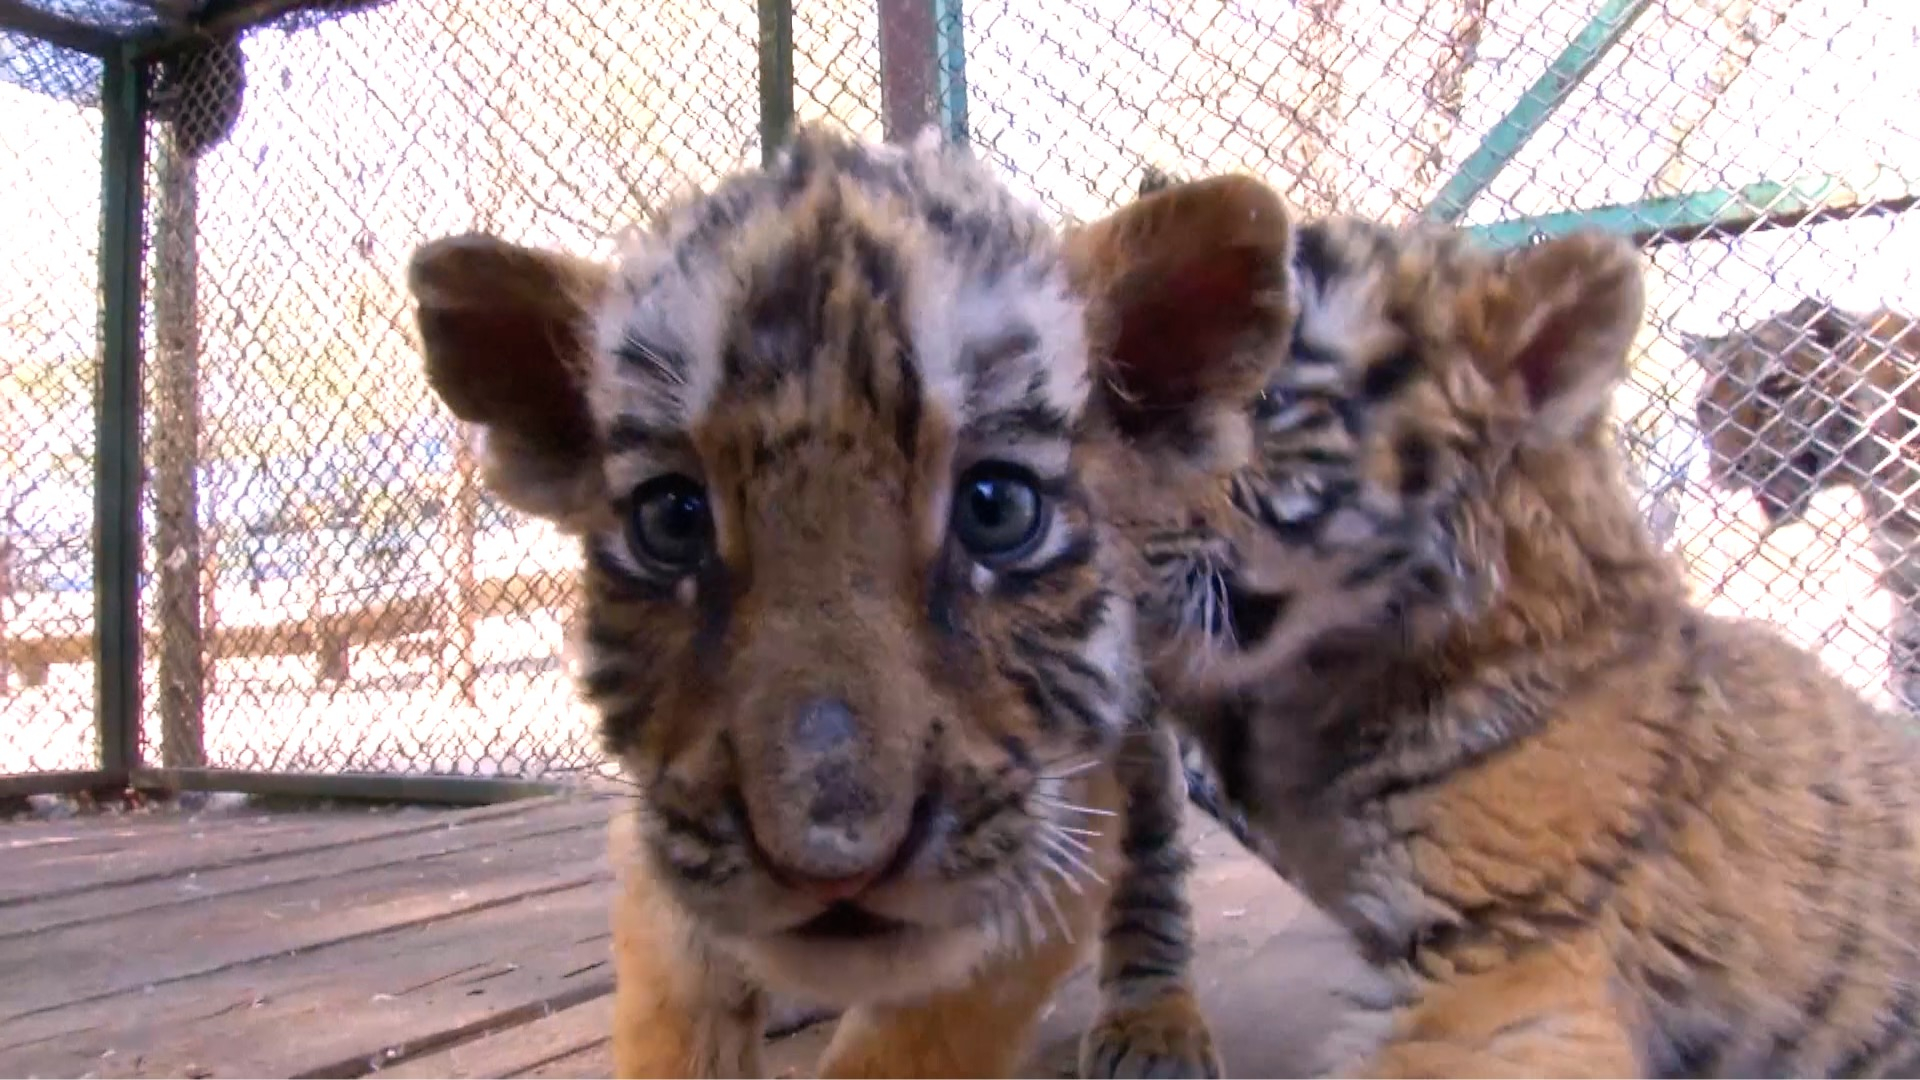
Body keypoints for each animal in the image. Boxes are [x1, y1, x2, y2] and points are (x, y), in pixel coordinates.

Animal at [405, 122, 1236, 1068]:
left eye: (997, 508)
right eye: (671, 519)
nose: (830, 858)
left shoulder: (1057, 812)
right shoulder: (661, 824)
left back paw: (1154, 1023)